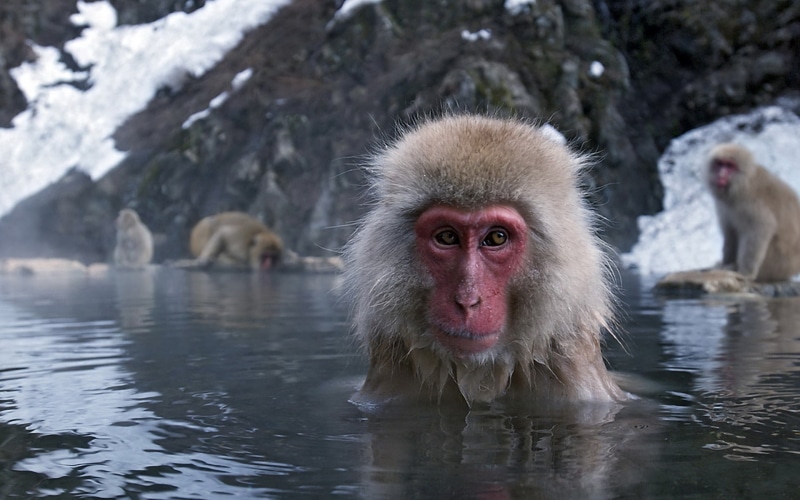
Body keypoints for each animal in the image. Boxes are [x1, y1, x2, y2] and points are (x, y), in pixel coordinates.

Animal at [706, 143, 800, 282]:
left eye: (730, 166)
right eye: (720, 164)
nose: (721, 174)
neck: (741, 183)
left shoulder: (749, 202)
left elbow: (760, 229)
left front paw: (745, 273)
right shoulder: (724, 205)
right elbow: (730, 231)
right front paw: (726, 262)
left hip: (776, 265)